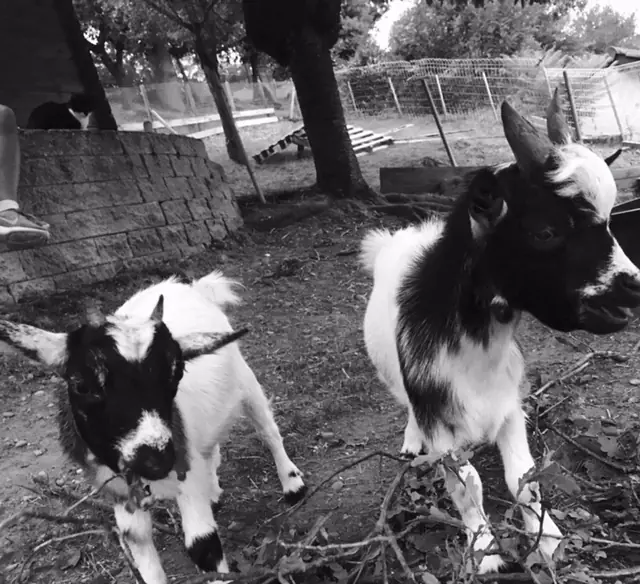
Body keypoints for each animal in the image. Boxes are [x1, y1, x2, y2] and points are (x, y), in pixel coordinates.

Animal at [0, 271, 306, 584]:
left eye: (177, 373)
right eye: (81, 385)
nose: (156, 459)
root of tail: (189, 287)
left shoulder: (186, 477)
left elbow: (203, 546)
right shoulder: (119, 492)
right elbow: (138, 544)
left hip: (245, 381)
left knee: (267, 430)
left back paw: (292, 483)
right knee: (211, 446)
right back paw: (214, 492)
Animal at [360, 93, 640, 573]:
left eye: (607, 221)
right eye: (545, 231)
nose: (634, 283)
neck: (477, 348)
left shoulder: (508, 406)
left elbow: (523, 479)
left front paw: (548, 541)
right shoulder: (439, 420)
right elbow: (466, 484)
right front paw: (485, 552)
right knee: (406, 407)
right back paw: (410, 443)